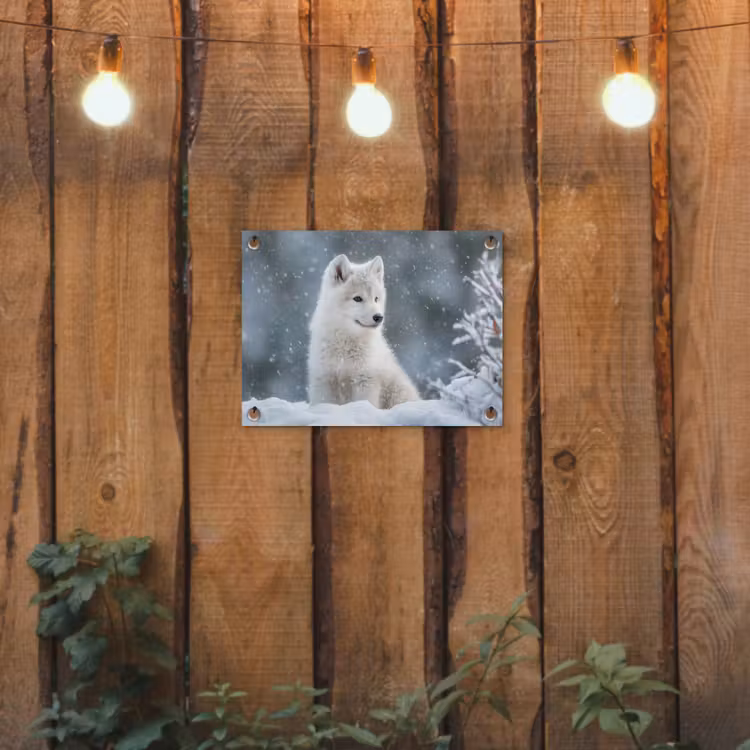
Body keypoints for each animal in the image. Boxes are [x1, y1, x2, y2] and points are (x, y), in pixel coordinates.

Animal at [307, 254, 420, 409]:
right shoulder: (325, 380)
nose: (378, 317)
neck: (345, 344)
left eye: (376, 299)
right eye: (357, 298)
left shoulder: (365, 380)